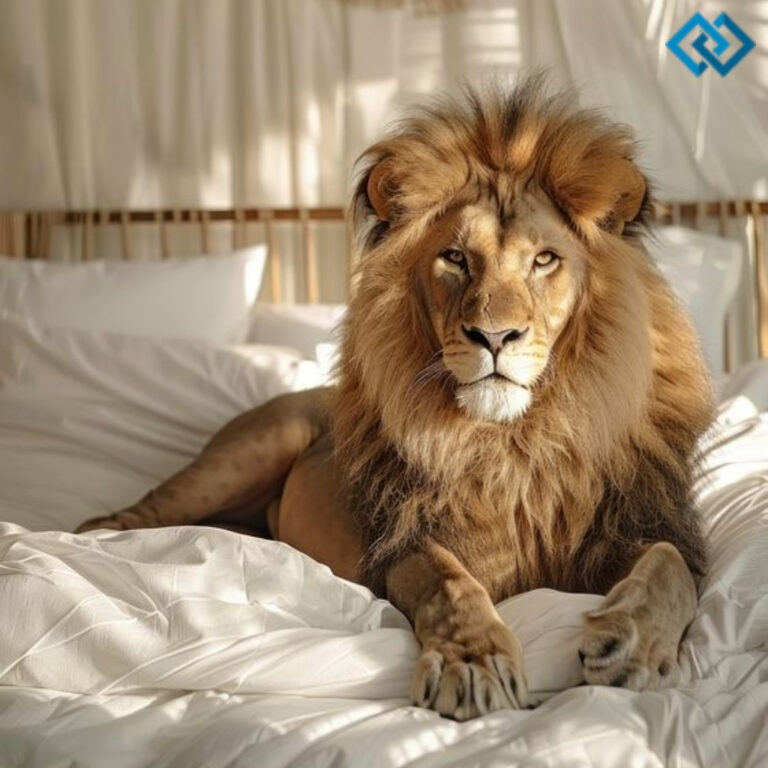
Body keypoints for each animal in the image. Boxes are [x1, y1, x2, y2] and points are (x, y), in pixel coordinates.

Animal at [77, 77, 715, 721]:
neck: (514, 442)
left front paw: (631, 644)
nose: (494, 337)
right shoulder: (407, 540)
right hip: (256, 446)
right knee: (119, 519)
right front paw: (472, 662)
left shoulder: (634, 527)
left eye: (544, 259)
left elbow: (671, 569)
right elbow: (449, 583)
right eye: (455, 258)